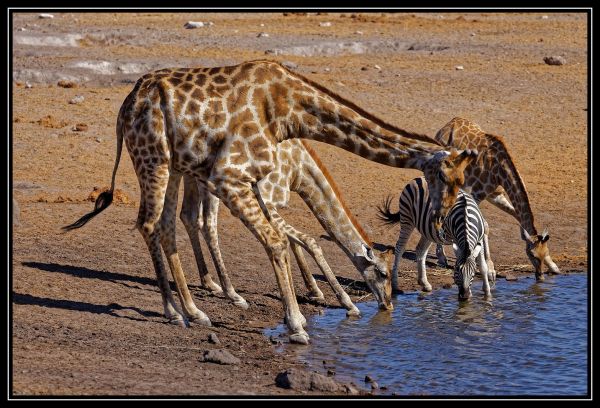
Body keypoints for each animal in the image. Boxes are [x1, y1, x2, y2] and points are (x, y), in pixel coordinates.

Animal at [178, 139, 394, 318]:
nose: (388, 304)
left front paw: (313, 291)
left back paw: (209, 283)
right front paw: (347, 303)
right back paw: (232, 293)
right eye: (384, 274)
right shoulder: (266, 198)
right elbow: (309, 240)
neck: (298, 167)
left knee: (188, 216)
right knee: (208, 224)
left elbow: (291, 240)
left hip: (191, 174)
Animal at [434, 116, 560, 278]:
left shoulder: (495, 195)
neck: (499, 171)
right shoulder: (476, 195)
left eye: (546, 252)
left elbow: (516, 216)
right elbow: (485, 226)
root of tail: (445, 126)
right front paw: (489, 268)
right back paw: (442, 258)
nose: (540, 276)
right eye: (532, 254)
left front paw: (554, 266)